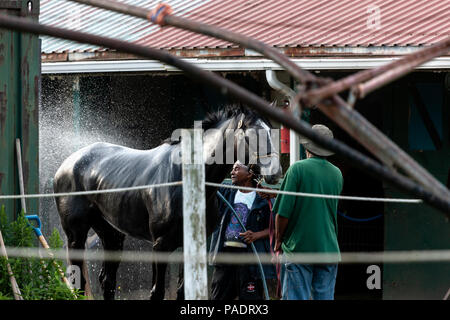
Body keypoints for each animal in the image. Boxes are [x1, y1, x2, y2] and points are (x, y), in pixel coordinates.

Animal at [53, 105, 282, 300]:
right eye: (252, 134)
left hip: (111, 234)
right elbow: (157, 292)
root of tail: (66, 164)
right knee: (79, 284)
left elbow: (182, 292)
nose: (276, 173)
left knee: (107, 281)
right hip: (76, 236)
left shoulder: (190, 246)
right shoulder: (161, 245)